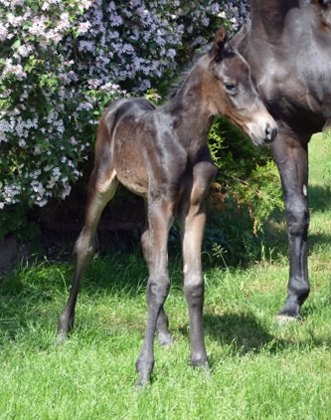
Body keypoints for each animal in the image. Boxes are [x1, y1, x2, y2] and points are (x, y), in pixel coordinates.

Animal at [57, 27, 278, 386]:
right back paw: (64, 328)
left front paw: (200, 362)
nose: (269, 130)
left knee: (147, 243)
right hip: (104, 182)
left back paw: (163, 332)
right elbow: (159, 283)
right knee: (85, 245)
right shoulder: (162, 203)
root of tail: (118, 104)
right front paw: (144, 371)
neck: (184, 140)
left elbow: (193, 282)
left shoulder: (194, 207)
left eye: (255, 84)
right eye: (230, 85)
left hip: (149, 196)